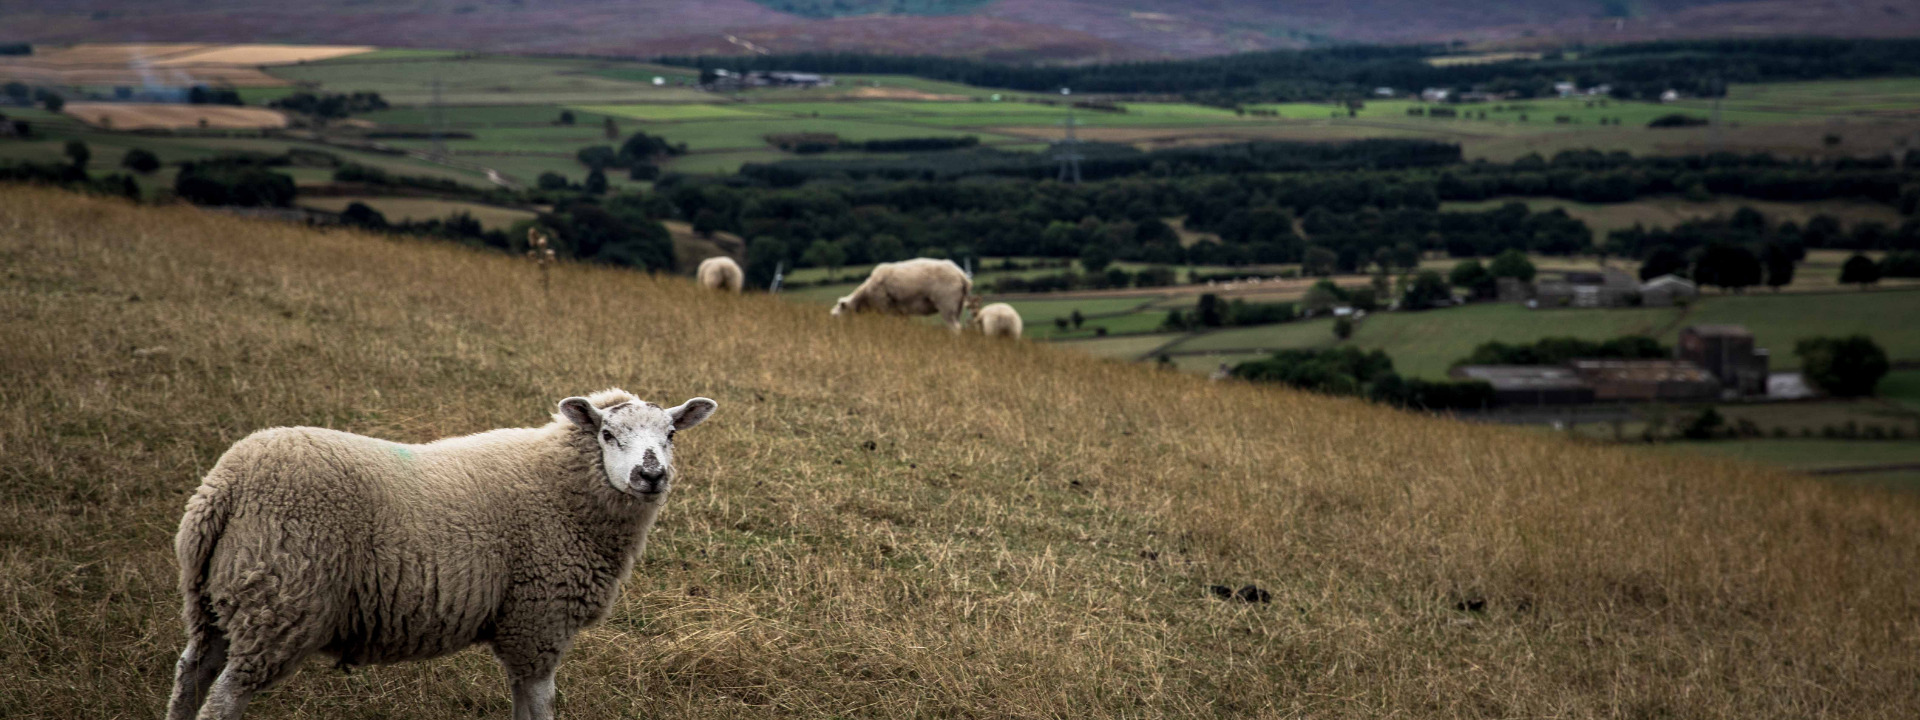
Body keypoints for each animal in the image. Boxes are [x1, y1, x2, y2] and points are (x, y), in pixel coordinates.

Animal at [166, 389, 718, 720]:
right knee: (223, 698)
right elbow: (540, 705)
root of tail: (227, 484)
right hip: (279, 601)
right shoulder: (538, 620)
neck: (562, 488)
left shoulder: (528, 624)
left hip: (215, 599)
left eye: (671, 435)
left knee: (191, 673)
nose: (651, 475)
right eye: (607, 434)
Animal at [830, 257, 972, 331]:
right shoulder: (901, 311)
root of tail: (962, 277)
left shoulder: (884, 305)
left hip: (946, 299)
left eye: (836, 315)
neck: (866, 297)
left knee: (955, 326)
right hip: (958, 303)